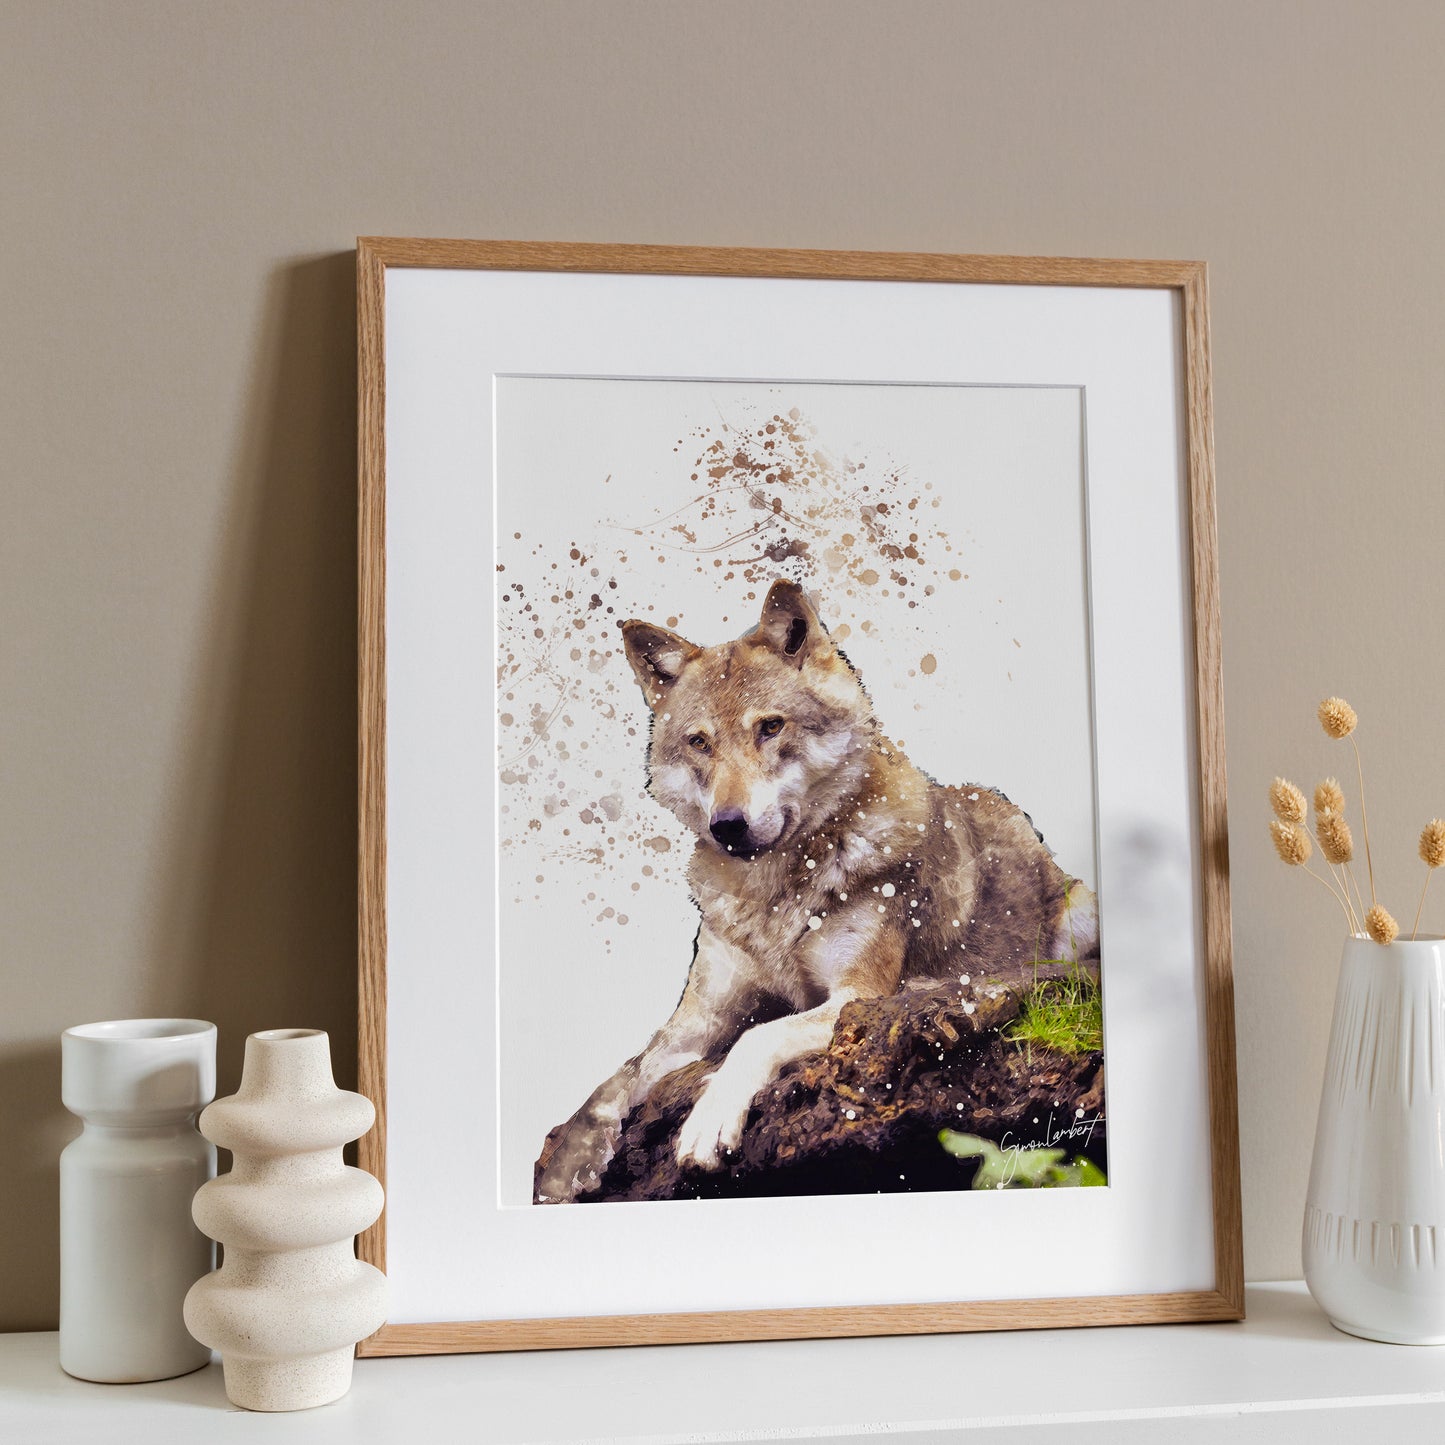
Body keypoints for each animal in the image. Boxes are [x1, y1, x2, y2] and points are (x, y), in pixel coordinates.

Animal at [533, 579, 1098, 1203]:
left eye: (771, 727)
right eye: (700, 742)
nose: (727, 826)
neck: (772, 896)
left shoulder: (855, 997)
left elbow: (757, 1037)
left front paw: (708, 1122)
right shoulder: (697, 1020)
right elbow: (613, 1083)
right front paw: (564, 1171)